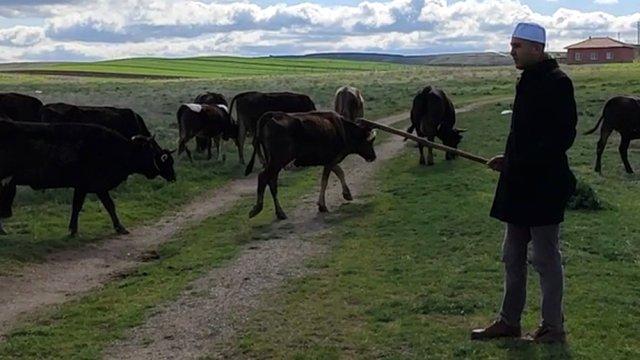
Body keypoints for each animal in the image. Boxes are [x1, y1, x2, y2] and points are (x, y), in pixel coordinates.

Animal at [0, 119, 175, 235]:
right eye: (154, 152)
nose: (173, 176)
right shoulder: (95, 186)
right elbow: (108, 205)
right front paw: (120, 228)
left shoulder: (83, 187)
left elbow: (78, 206)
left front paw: (73, 229)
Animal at [244, 111, 376, 219]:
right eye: (369, 141)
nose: (374, 156)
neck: (342, 129)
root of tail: (272, 116)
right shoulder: (330, 160)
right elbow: (325, 181)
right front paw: (322, 205)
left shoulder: (329, 161)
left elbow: (339, 172)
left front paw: (347, 194)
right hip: (278, 161)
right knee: (263, 177)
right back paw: (257, 208)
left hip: (273, 162)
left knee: (272, 182)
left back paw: (280, 213)